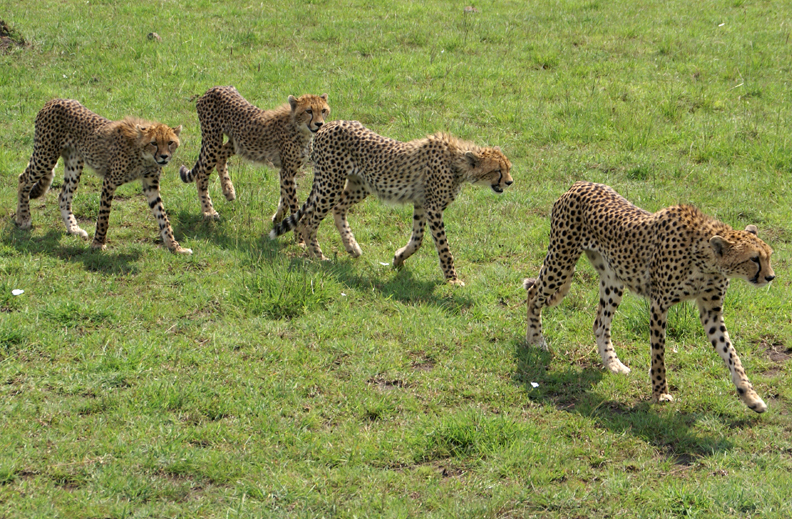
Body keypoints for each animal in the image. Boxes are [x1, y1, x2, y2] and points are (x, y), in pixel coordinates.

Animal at [15, 98, 190, 255]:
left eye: (170, 142)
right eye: (154, 143)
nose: (164, 157)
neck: (143, 156)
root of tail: (55, 100)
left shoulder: (150, 186)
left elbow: (163, 218)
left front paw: (175, 247)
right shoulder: (109, 182)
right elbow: (104, 216)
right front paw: (98, 244)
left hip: (74, 163)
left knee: (63, 196)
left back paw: (73, 228)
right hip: (46, 156)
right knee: (23, 179)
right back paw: (23, 218)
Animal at [179, 86, 328, 223]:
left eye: (323, 110)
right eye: (308, 111)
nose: (319, 124)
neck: (301, 130)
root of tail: (214, 88)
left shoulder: (287, 170)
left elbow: (285, 196)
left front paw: (278, 218)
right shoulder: (288, 170)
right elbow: (292, 200)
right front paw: (296, 229)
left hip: (237, 143)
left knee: (221, 157)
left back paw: (228, 190)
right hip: (213, 141)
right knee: (201, 175)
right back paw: (208, 211)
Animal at [270, 120, 512, 286]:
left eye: (508, 168)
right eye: (498, 170)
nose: (510, 182)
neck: (457, 162)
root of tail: (328, 125)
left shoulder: (421, 205)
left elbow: (417, 240)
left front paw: (398, 260)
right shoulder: (433, 209)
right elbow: (444, 248)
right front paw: (452, 279)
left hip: (359, 185)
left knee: (338, 208)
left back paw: (352, 247)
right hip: (331, 182)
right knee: (309, 219)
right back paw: (319, 257)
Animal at [524, 181, 776, 412]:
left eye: (769, 256)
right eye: (754, 259)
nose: (771, 277)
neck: (707, 261)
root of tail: (580, 183)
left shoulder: (711, 311)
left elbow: (732, 355)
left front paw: (750, 396)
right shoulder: (659, 305)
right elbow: (659, 353)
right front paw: (660, 392)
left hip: (613, 280)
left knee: (600, 323)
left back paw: (613, 364)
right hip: (561, 260)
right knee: (533, 292)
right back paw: (535, 339)